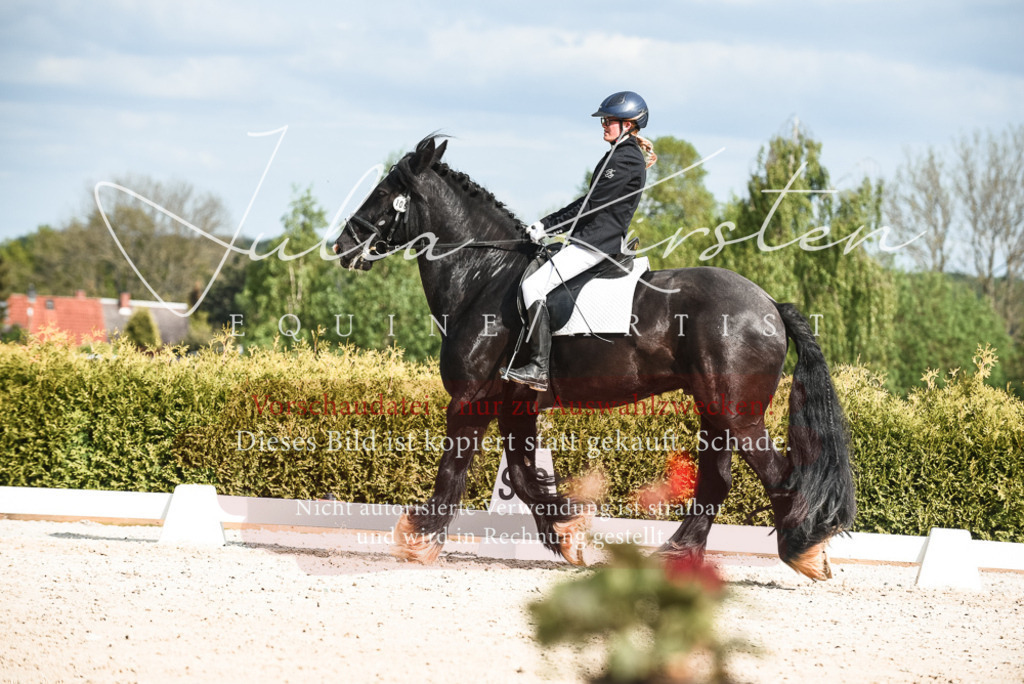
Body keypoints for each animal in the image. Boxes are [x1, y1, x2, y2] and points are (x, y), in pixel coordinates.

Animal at [333, 135, 856, 580]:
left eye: (384, 191)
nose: (341, 246)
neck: (485, 276)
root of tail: (769, 304)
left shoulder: (472, 398)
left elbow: (454, 468)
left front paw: (417, 539)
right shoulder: (515, 403)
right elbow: (521, 475)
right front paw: (568, 534)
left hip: (736, 413)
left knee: (779, 476)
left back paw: (804, 551)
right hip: (715, 410)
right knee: (716, 481)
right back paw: (676, 554)